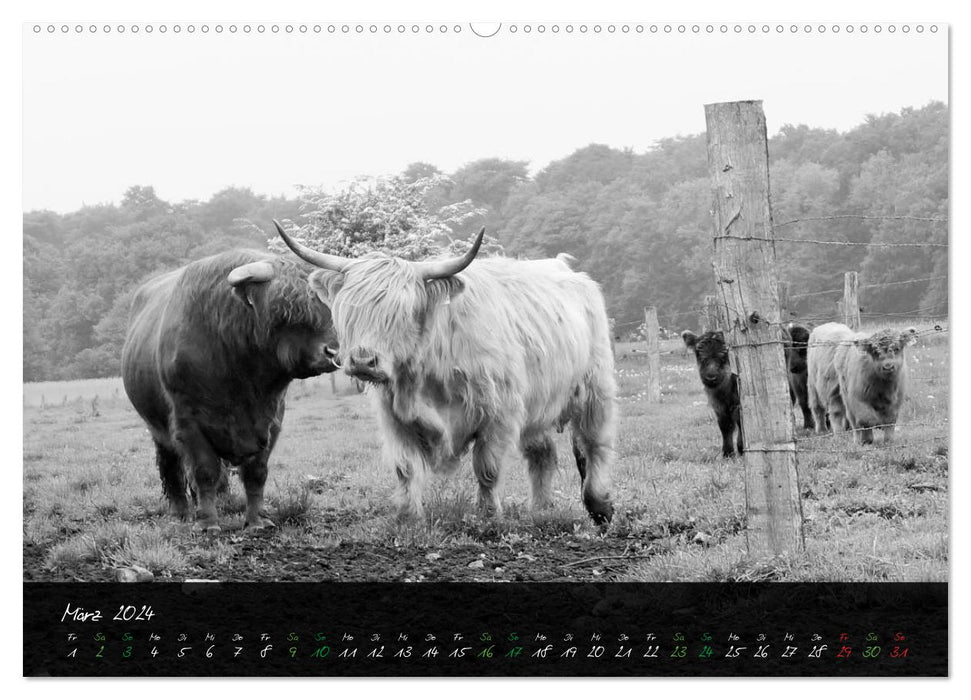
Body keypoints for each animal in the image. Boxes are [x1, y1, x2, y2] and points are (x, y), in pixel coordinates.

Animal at [121, 250, 338, 532]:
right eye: (285, 311)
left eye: (326, 305)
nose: (333, 352)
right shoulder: (188, 421)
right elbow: (204, 471)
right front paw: (207, 522)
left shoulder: (271, 420)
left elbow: (256, 472)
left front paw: (257, 520)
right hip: (156, 427)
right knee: (171, 466)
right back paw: (181, 511)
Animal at [278, 221, 620, 524]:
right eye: (349, 309)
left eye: (402, 312)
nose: (363, 361)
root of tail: (566, 268)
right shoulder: (395, 417)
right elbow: (406, 469)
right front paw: (409, 518)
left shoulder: (499, 413)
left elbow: (487, 468)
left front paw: (489, 516)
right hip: (539, 403)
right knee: (542, 454)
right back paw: (540, 508)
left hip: (595, 387)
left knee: (595, 443)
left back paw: (600, 506)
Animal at [684, 330, 744, 460]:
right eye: (698, 351)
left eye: (724, 352)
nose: (711, 377)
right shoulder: (719, 408)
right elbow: (725, 426)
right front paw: (728, 453)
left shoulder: (739, 405)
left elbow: (741, 423)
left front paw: (742, 449)